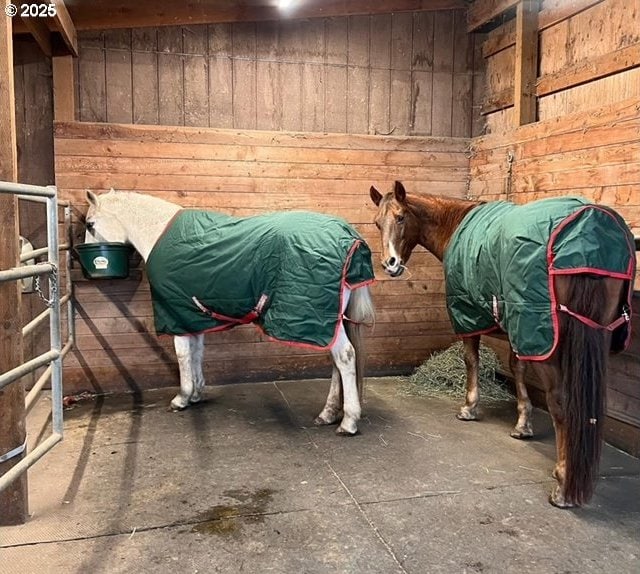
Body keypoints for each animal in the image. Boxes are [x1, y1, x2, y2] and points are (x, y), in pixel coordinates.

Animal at [84, 190, 376, 436]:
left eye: (89, 225)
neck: (159, 232)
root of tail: (349, 235)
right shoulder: (193, 315)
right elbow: (197, 352)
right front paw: (196, 393)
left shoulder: (176, 315)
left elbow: (183, 355)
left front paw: (182, 398)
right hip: (330, 322)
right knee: (337, 363)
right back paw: (328, 414)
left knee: (345, 357)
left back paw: (348, 421)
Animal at [370, 181, 636, 508]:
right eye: (377, 223)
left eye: (401, 218)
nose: (390, 265)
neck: (456, 223)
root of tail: (589, 236)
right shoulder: (517, 329)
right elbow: (517, 368)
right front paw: (523, 425)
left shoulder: (470, 317)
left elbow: (472, 361)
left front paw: (469, 408)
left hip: (546, 341)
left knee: (560, 402)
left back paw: (563, 485)